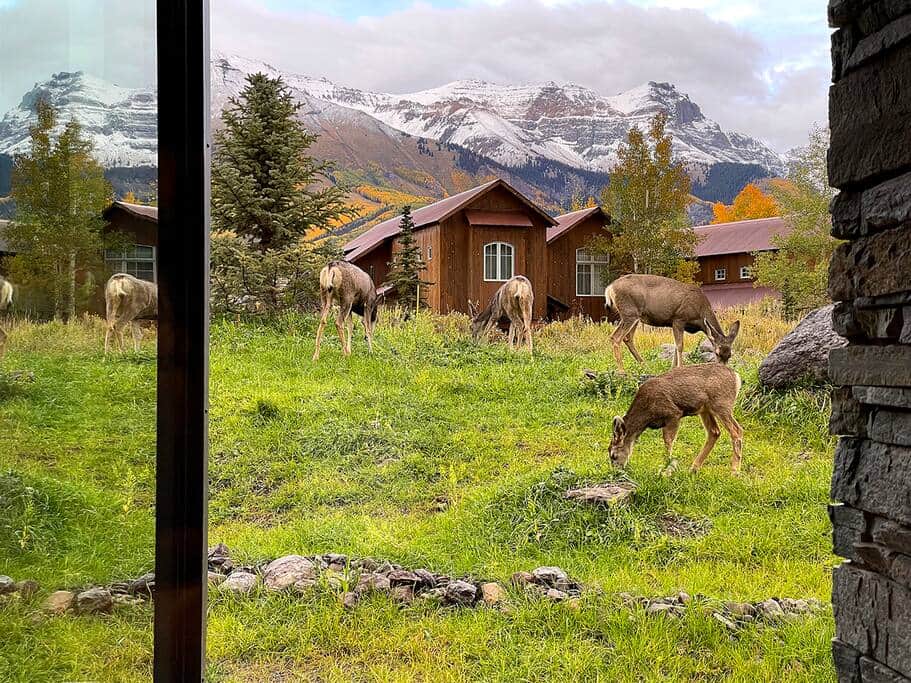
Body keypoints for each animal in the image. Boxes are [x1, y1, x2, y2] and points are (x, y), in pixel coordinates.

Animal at [604, 274, 740, 374]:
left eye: (730, 355)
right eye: (717, 353)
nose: (724, 371)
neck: (700, 311)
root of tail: (609, 288)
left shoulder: (677, 323)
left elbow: (675, 346)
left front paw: (672, 369)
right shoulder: (679, 318)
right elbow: (680, 346)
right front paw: (680, 368)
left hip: (635, 316)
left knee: (628, 338)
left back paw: (645, 366)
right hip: (629, 312)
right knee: (616, 337)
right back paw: (622, 371)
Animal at [609, 363, 744, 473]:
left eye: (613, 455)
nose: (616, 472)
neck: (646, 414)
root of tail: (737, 377)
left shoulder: (673, 414)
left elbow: (668, 441)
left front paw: (666, 464)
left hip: (722, 404)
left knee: (737, 430)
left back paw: (734, 471)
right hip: (705, 409)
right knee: (714, 432)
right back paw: (694, 468)